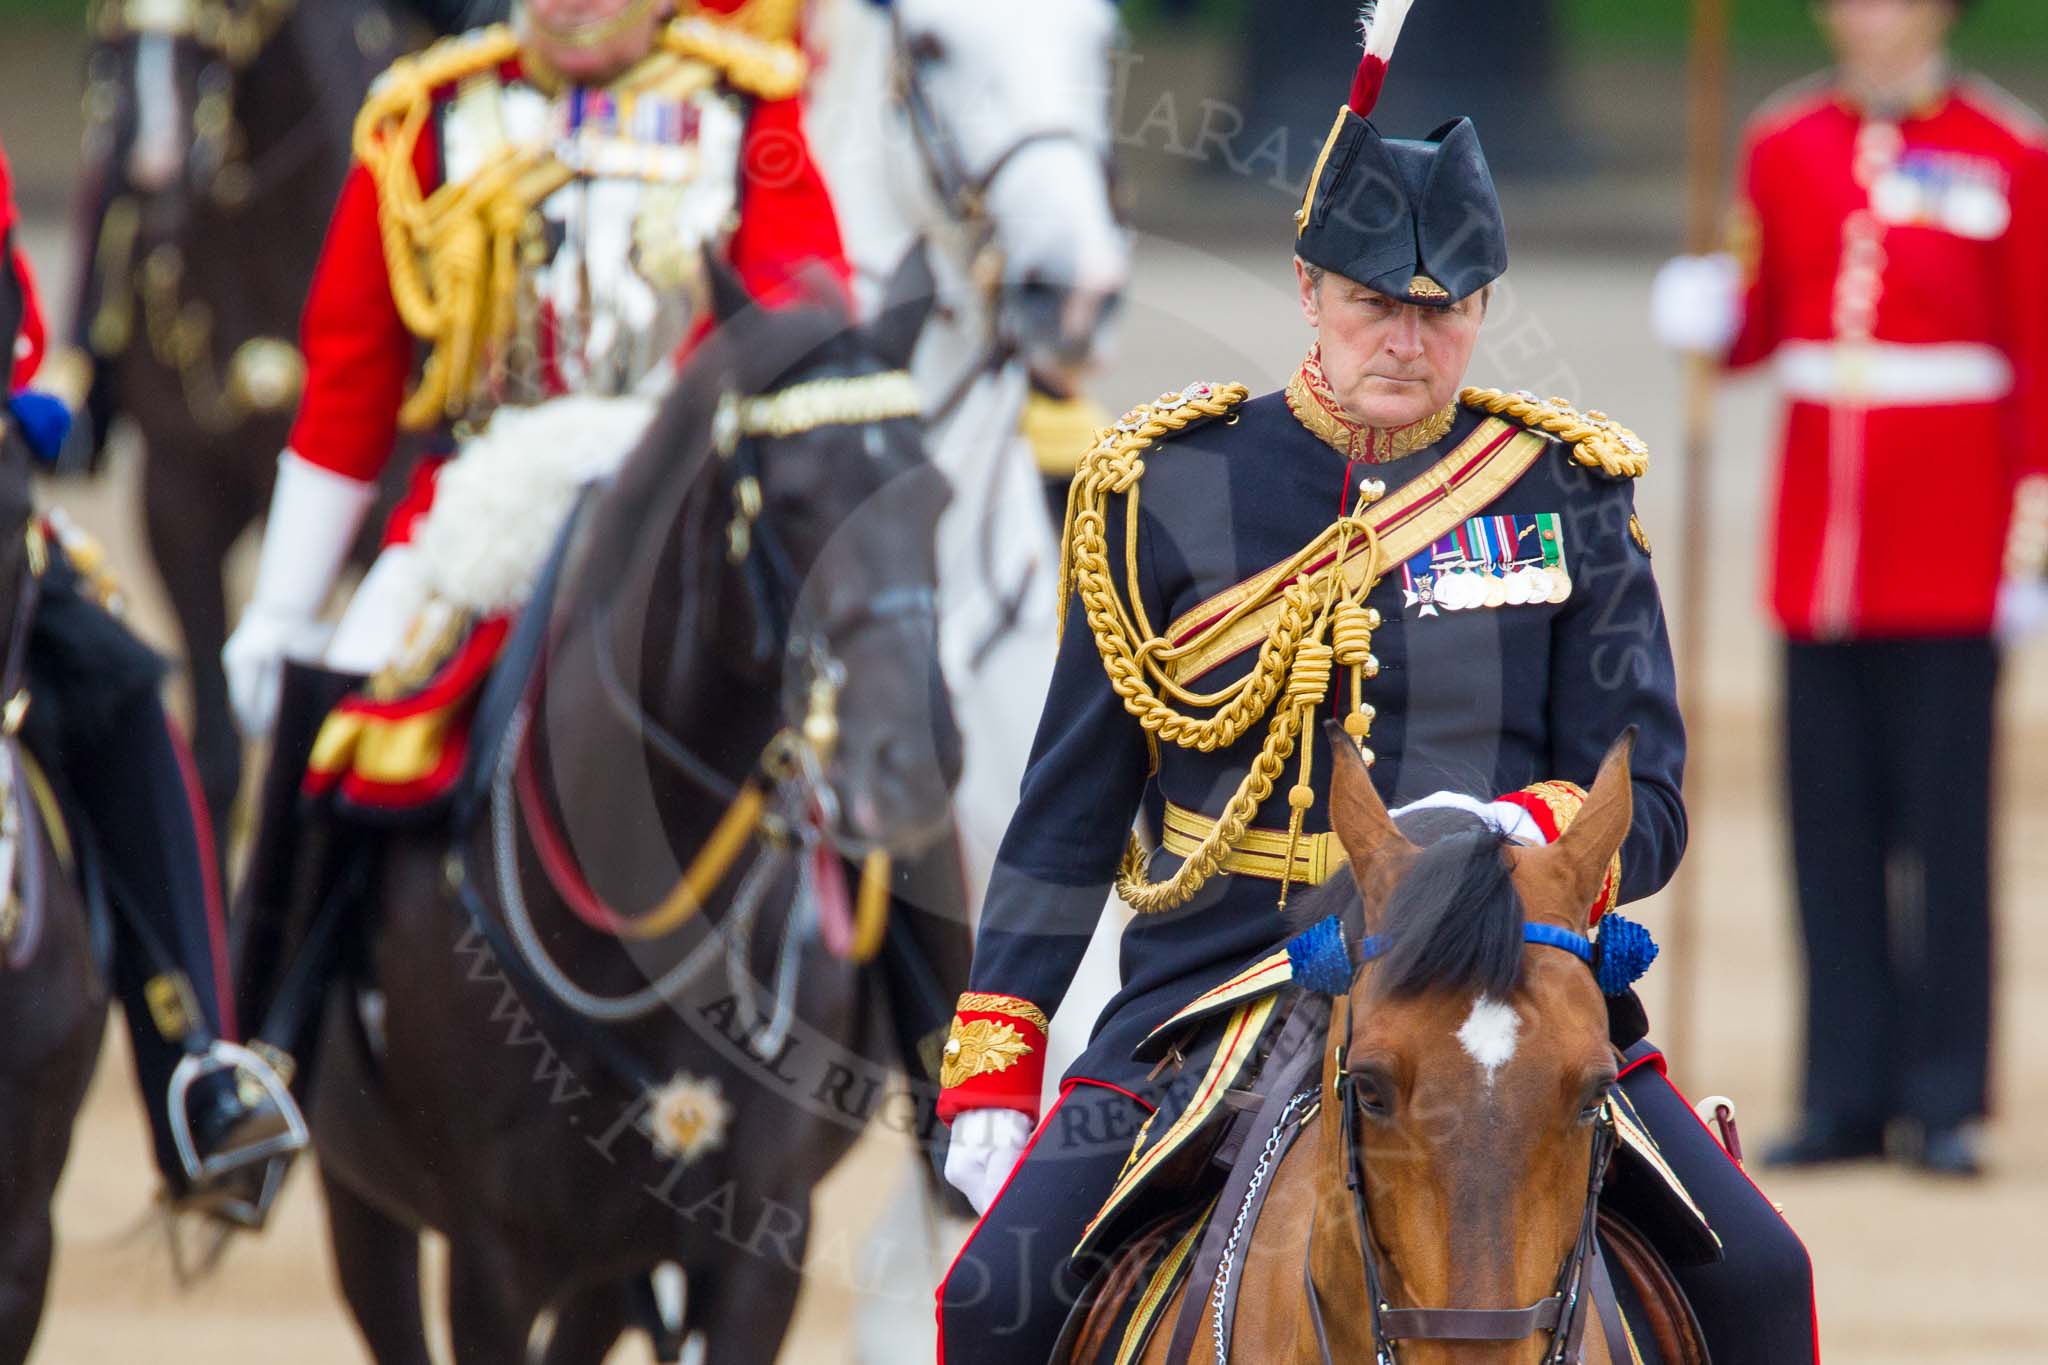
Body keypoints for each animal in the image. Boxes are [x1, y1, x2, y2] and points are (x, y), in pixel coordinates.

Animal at [299, 261, 970, 1358]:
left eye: (936, 500)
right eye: (789, 501)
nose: (912, 760)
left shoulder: (758, 1246)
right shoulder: (492, 1260)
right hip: (364, 1205)